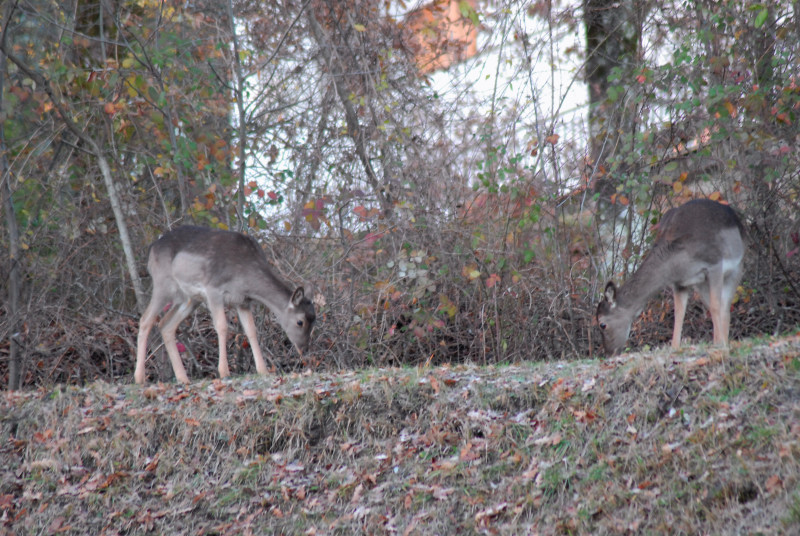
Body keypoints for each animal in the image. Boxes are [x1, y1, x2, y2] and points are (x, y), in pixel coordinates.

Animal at [134, 226, 316, 386]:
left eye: (314, 320)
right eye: (300, 322)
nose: (304, 348)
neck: (245, 277)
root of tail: (151, 249)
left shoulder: (243, 301)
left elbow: (251, 331)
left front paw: (263, 370)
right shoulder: (213, 289)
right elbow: (222, 326)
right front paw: (224, 372)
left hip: (189, 298)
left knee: (165, 324)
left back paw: (183, 378)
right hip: (163, 284)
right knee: (146, 319)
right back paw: (139, 378)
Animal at [592, 197, 744, 356]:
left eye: (602, 324)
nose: (609, 353)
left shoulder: (714, 264)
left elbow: (716, 306)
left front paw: (720, 345)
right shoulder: (680, 283)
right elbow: (679, 314)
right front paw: (675, 347)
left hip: (737, 267)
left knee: (724, 306)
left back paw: (723, 343)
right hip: (701, 284)